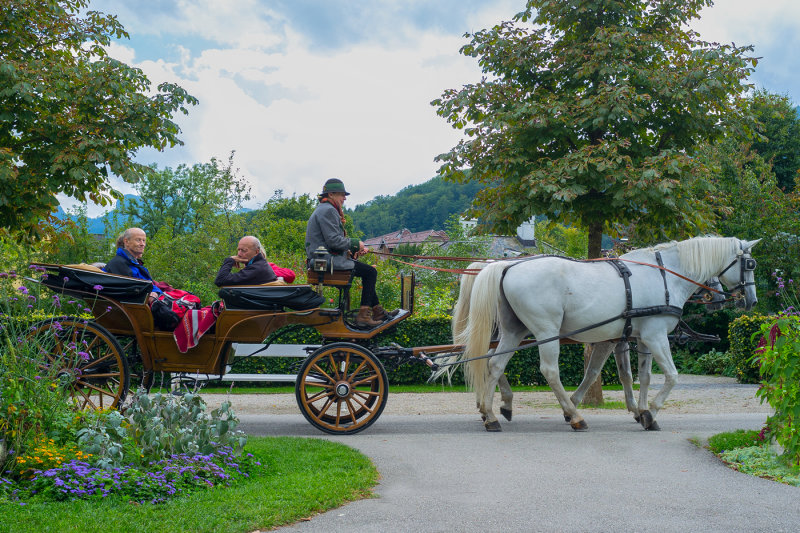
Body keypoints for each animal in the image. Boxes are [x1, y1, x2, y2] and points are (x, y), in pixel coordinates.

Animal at [450, 237, 756, 432]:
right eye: (750, 264)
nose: (750, 300)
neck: (664, 276)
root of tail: (505, 266)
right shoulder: (654, 336)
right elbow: (670, 376)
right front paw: (650, 412)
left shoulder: (637, 338)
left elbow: (638, 376)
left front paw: (641, 411)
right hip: (546, 331)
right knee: (548, 371)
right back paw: (575, 417)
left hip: (514, 330)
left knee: (494, 364)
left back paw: (492, 415)